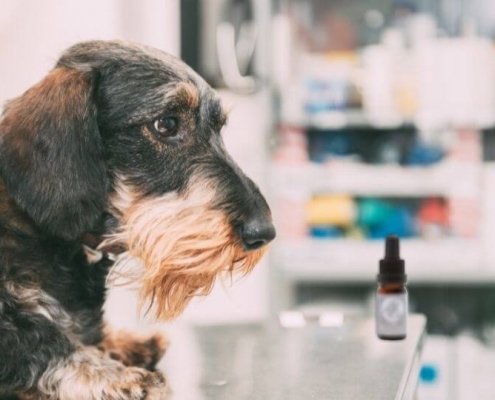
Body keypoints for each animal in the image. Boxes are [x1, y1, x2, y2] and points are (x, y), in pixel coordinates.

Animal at [0, 41, 276, 400]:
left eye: (219, 129)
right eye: (167, 124)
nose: (264, 232)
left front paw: (125, 341)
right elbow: (37, 338)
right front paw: (119, 377)